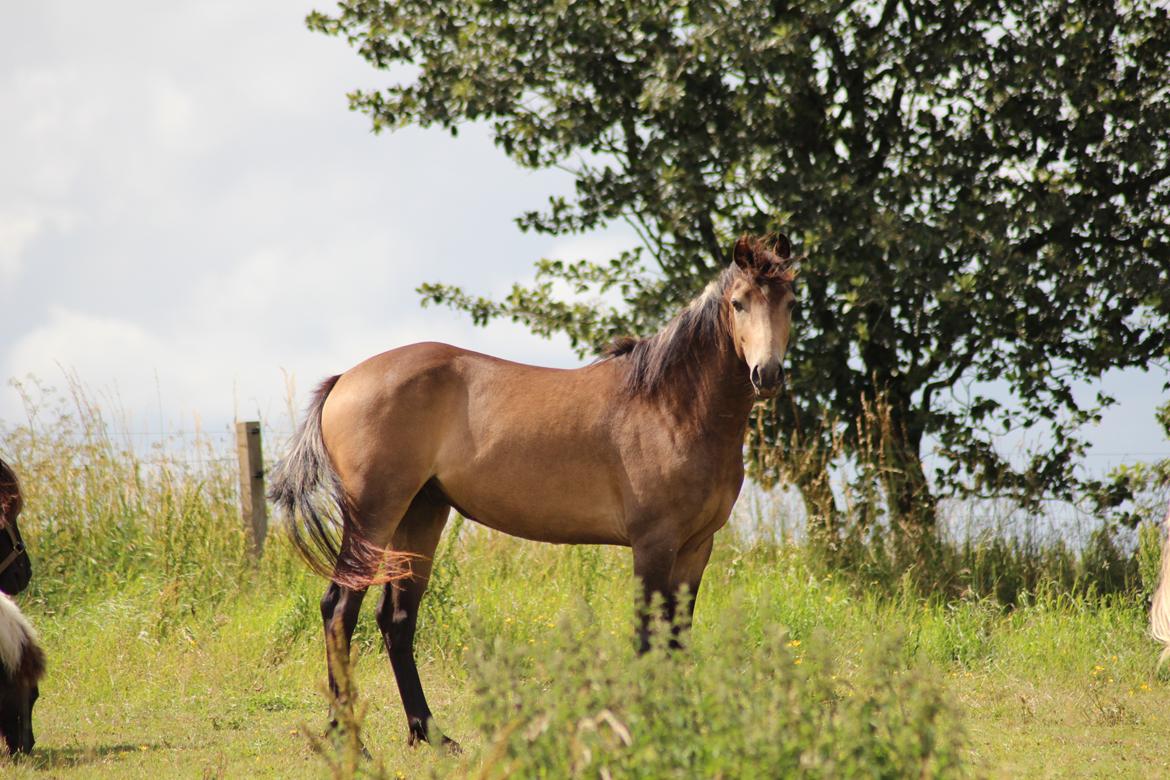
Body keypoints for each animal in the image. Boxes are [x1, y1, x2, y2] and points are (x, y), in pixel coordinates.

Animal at [270, 233, 800, 748]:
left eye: (790, 302)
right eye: (738, 303)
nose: (768, 374)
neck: (671, 406)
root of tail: (345, 380)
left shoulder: (696, 548)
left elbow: (677, 638)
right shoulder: (654, 545)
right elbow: (648, 639)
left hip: (421, 513)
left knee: (396, 619)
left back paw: (431, 734)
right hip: (375, 513)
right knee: (340, 609)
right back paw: (348, 739)